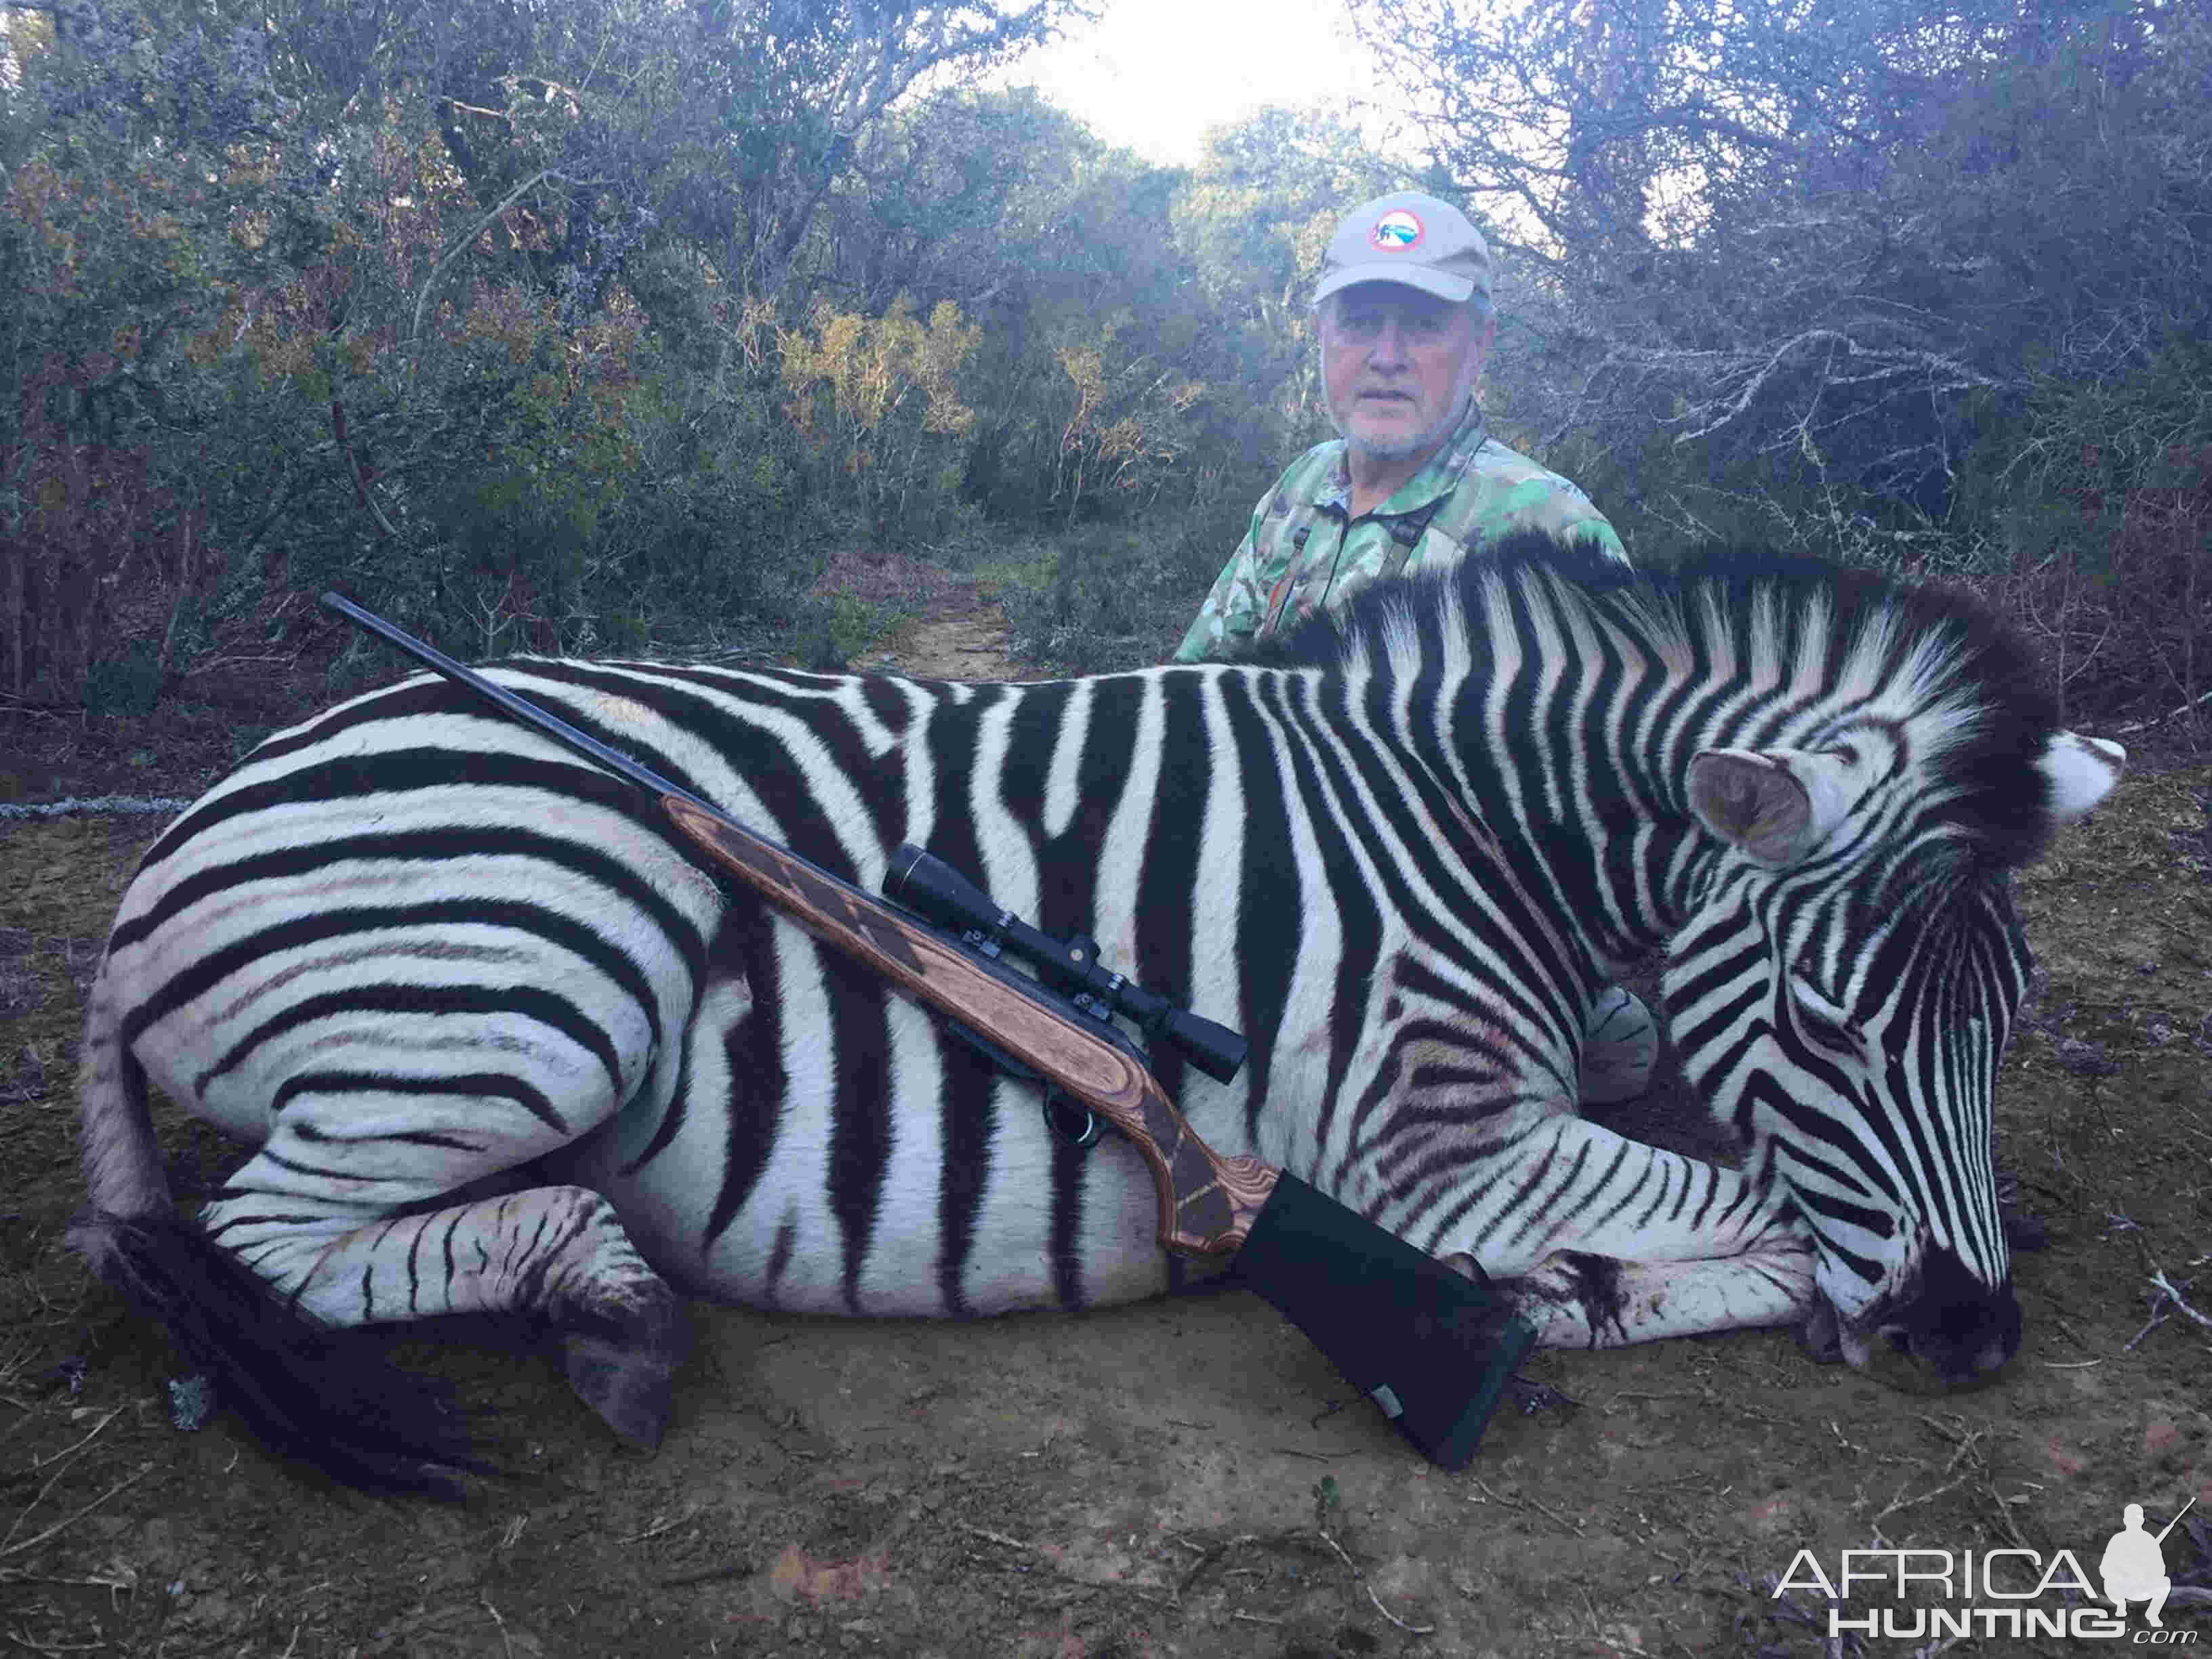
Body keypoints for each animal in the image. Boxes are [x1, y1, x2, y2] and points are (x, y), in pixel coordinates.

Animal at [78, 539, 2123, 1486]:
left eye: (2011, 1018)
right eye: (1838, 1029)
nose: (1973, 1338)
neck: (1456, 825)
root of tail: (169, 847)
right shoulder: (1441, 1150)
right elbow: (1759, 1218)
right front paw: (1559, 1302)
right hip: (543, 964)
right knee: (237, 1241)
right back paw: (613, 1311)